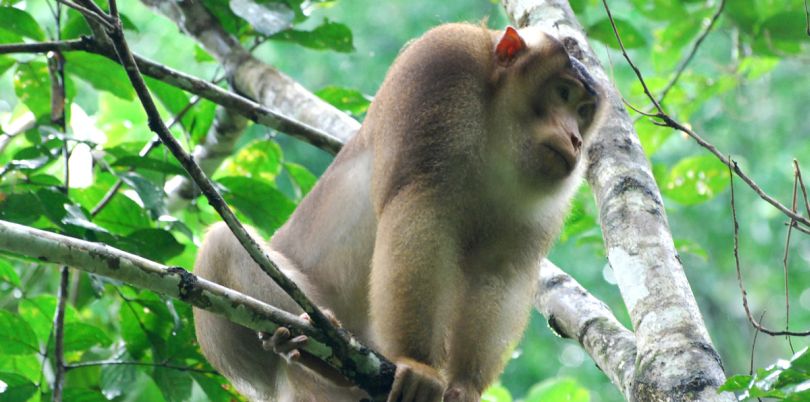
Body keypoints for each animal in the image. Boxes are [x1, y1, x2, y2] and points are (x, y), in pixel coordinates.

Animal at [193, 22, 604, 402]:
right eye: (562, 92)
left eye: (583, 112)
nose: (575, 140)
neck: (497, 123)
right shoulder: (442, 62)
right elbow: (422, 203)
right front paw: (419, 363)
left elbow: (499, 266)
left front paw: (465, 385)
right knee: (221, 244)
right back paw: (325, 361)